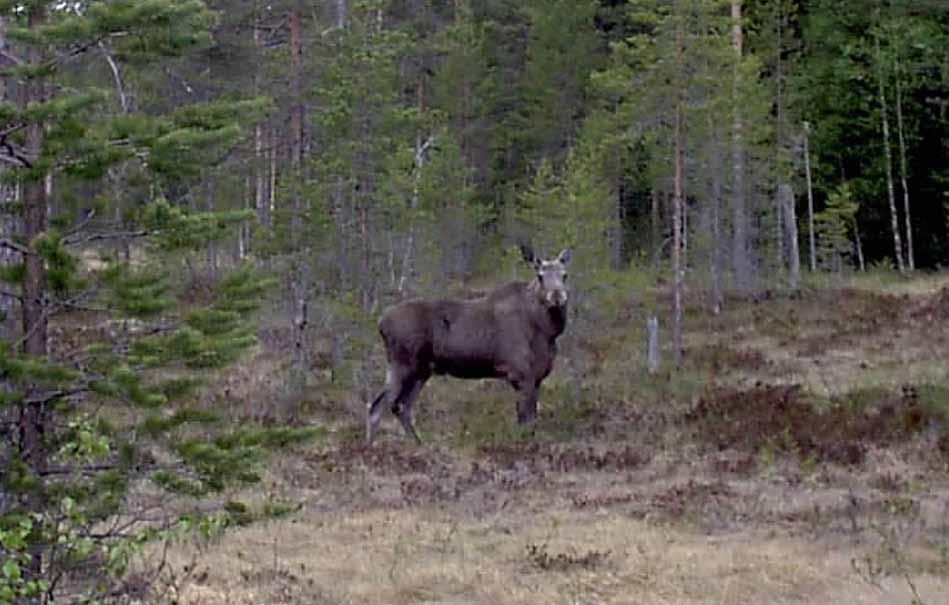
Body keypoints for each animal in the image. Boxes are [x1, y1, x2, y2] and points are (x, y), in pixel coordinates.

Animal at [364, 244, 572, 444]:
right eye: (540, 276)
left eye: (564, 275)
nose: (557, 297)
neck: (546, 331)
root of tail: (380, 322)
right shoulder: (521, 374)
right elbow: (526, 422)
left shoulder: (537, 378)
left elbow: (531, 421)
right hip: (402, 365)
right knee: (377, 407)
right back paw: (370, 446)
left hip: (421, 371)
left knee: (401, 407)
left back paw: (418, 444)